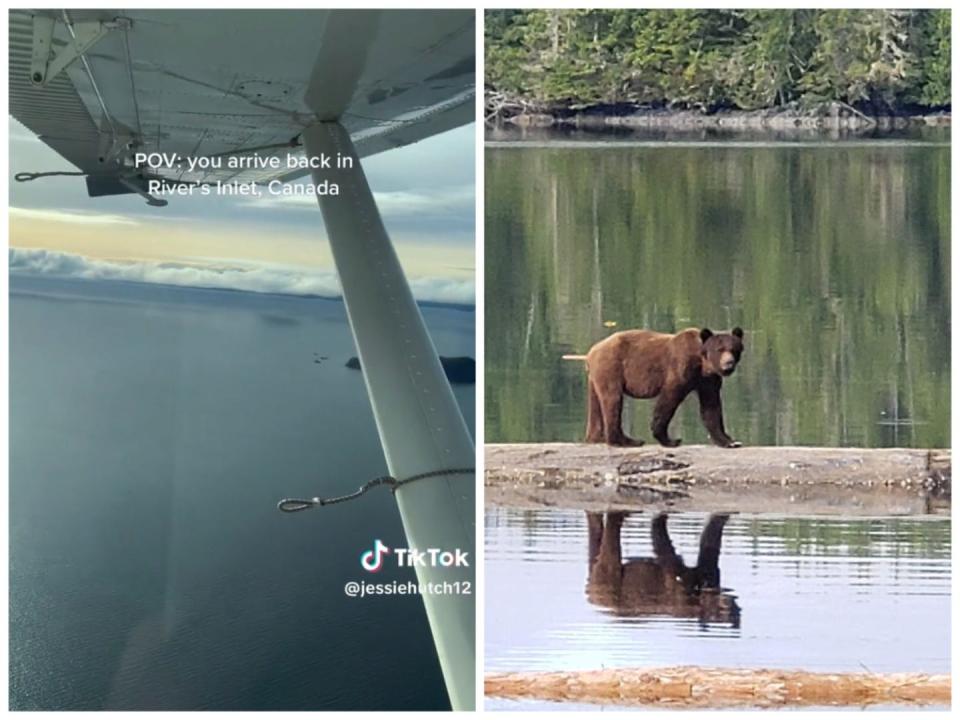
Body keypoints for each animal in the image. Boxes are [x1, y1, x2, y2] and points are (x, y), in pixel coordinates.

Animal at [576, 330, 744, 448]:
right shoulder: (680, 369)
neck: (702, 364)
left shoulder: (708, 381)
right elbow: (668, 399)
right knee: (613, 400)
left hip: (595, 378)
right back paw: (625, 441)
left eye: (734, 349)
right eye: (720, 349)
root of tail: (591, 351)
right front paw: (670, 439)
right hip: (611, 367)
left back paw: (597, 437)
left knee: (596, 404)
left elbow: (711, 408)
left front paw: (729, 441)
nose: (729, 363)